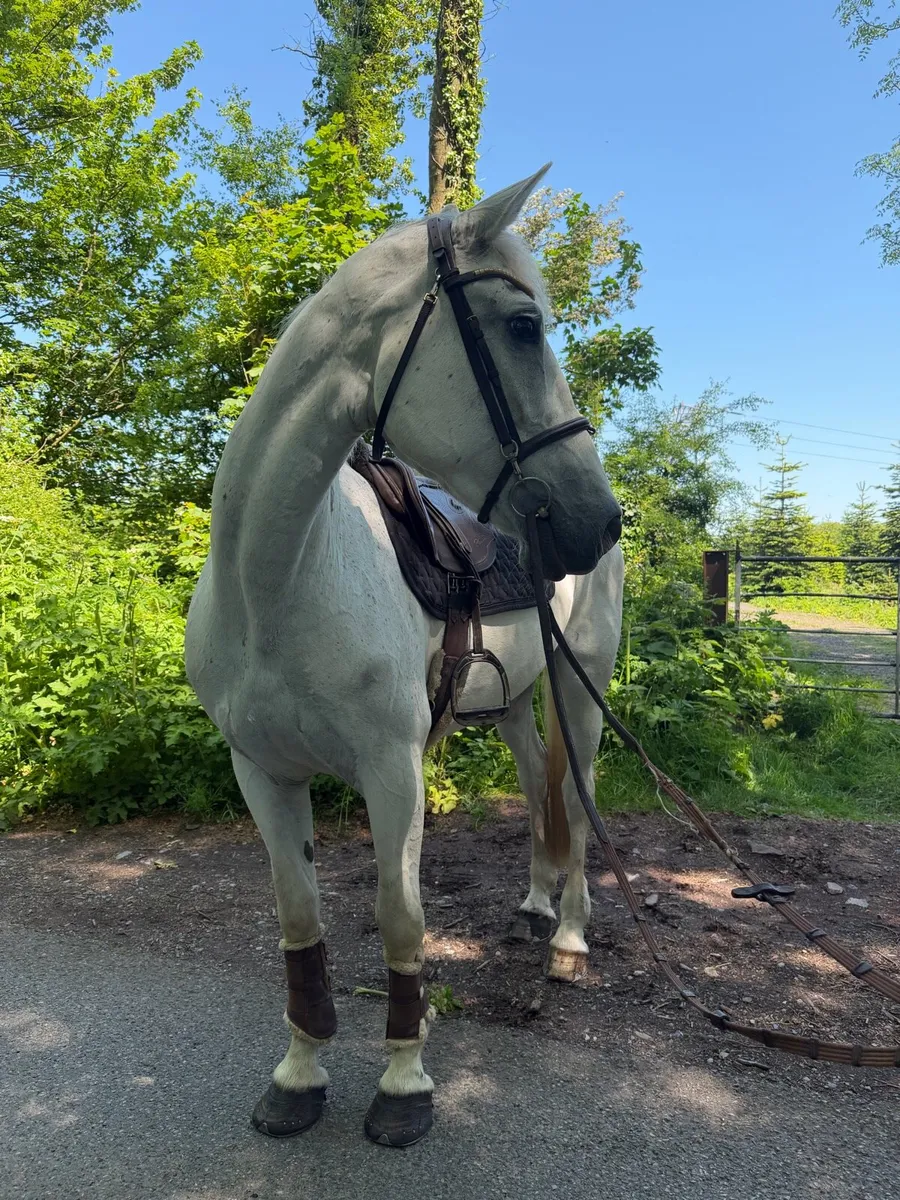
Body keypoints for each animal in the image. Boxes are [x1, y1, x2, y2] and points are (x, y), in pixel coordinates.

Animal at [184, 164, 624, 1147]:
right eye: (523, 326)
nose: (598, 518)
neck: (277, 582)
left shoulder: (393, 770)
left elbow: (400, 919)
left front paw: (403, 1085)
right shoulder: (261, 771)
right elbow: (299, 917)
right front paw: (300, 1073)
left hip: (580, 695)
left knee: (576, 807)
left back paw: (570, 939)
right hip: (509, 706)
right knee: (536, 783)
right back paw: (535, 906)